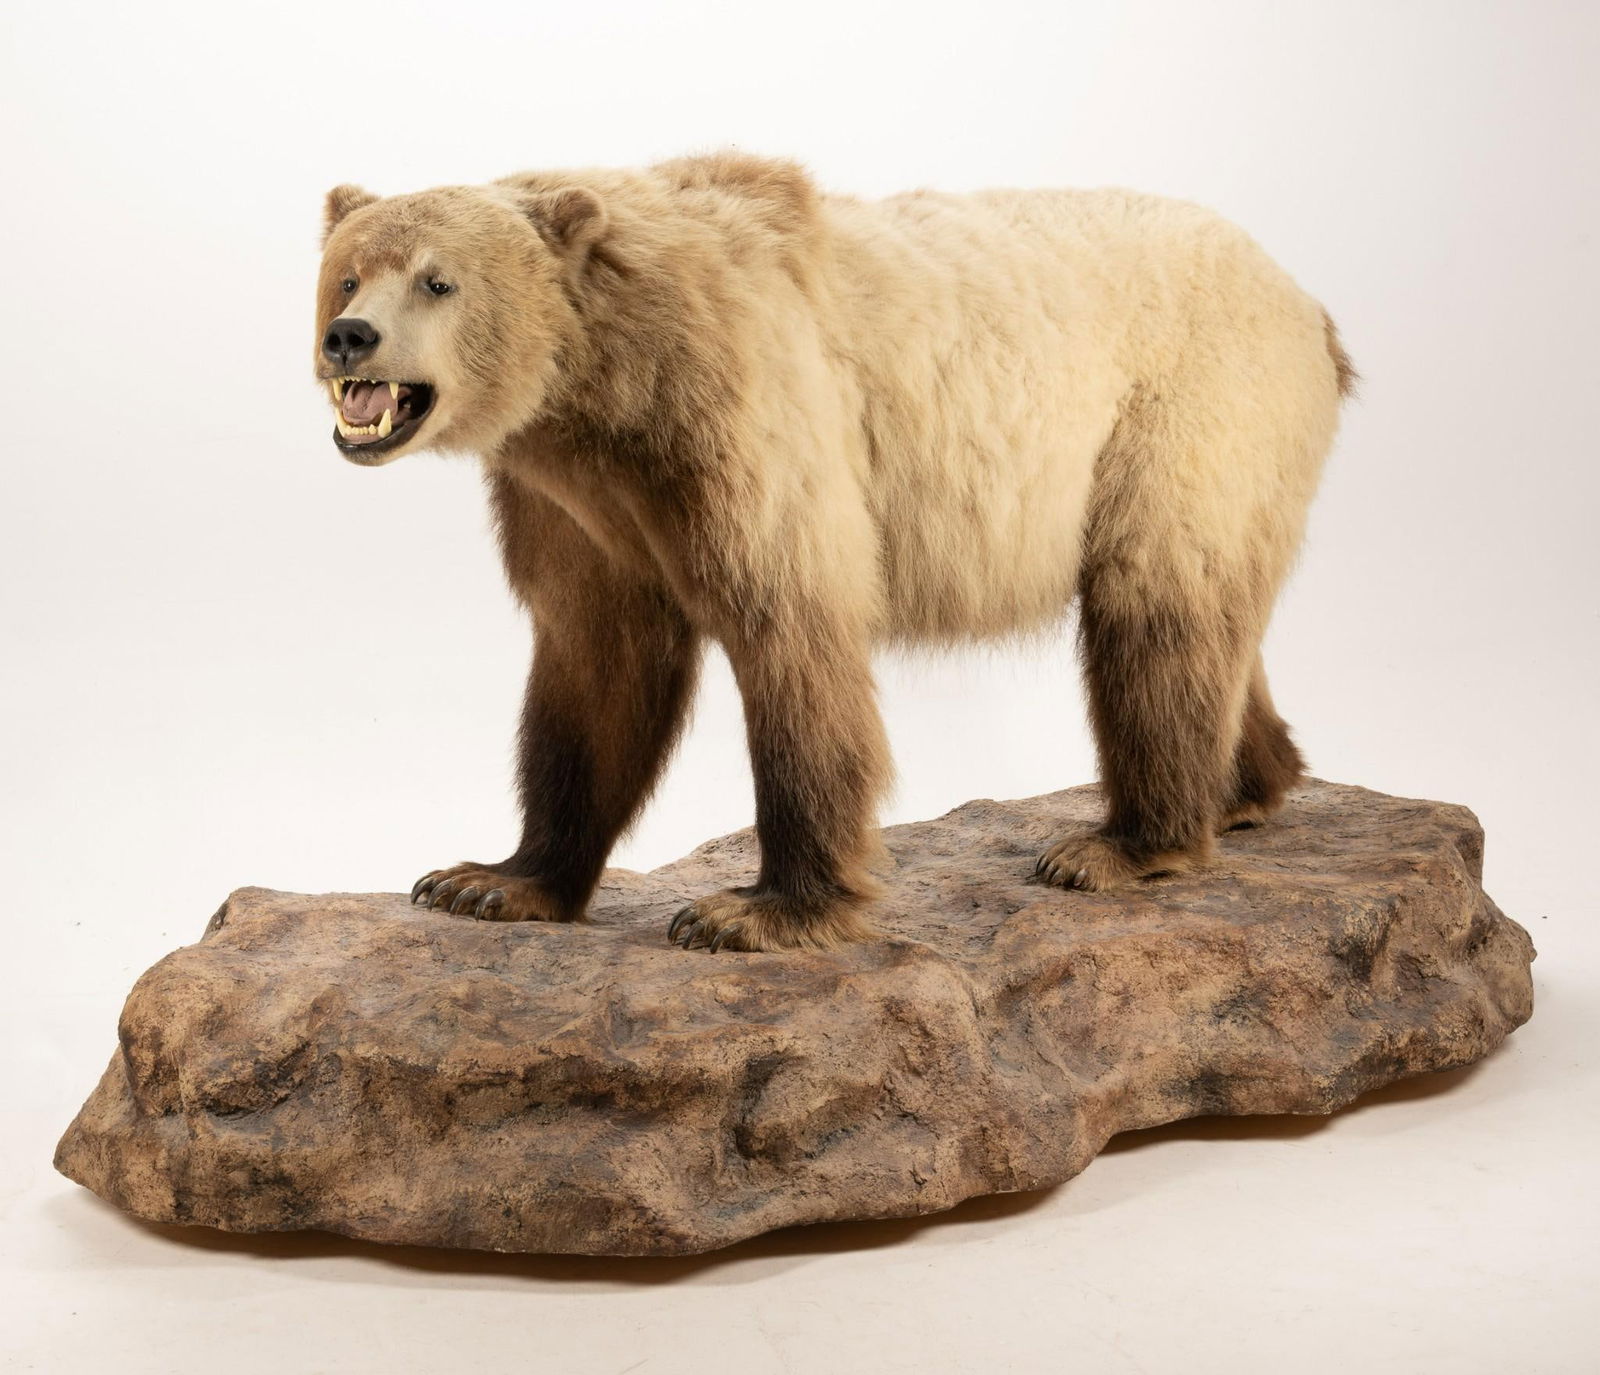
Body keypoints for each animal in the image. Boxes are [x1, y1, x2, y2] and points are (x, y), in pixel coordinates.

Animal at [313, 152, 1354, 953]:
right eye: (349, 272)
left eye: (438, 279)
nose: (348, 336)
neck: (608, 382)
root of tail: (1308, 303)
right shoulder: (574, 498)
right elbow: (595, 661)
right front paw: (487, 879)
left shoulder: (746, 417)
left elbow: (791, 638)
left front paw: (752, 911)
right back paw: (1247, 789)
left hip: (1187, 411)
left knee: (1153, 607)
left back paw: (1119, 845)